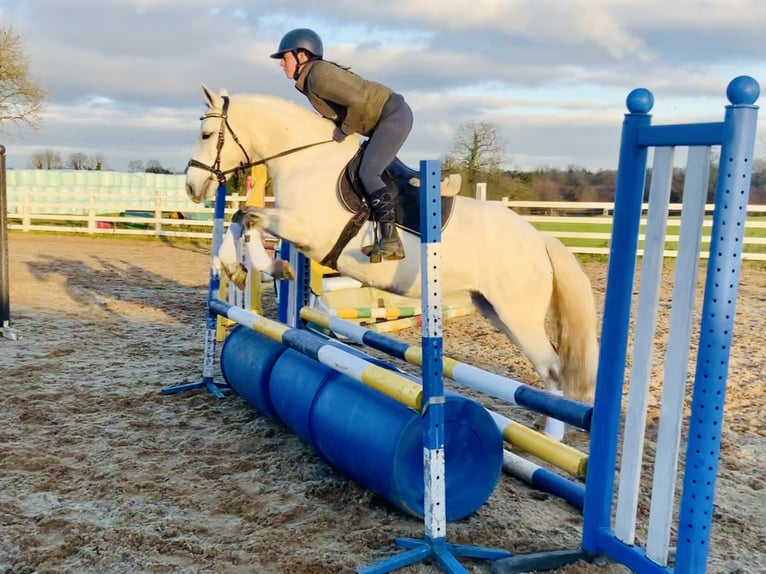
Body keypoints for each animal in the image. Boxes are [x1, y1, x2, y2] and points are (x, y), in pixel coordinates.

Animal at [186, 85, 600, 438]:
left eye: (206, 135)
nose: (192, 187)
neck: (306, 160)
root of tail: (540, 239)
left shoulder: (308, 230)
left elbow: (249, 217)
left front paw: (264, 267)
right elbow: (242, 218)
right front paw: (241, 268)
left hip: (518, 315)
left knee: (553, 369)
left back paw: (552, 437)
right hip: (494, 310)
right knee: (550, 371)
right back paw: (543, 426)